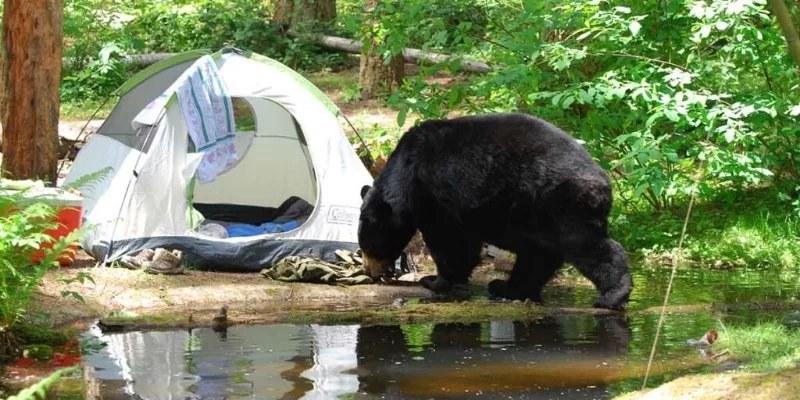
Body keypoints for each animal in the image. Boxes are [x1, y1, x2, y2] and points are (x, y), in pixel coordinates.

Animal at [357, 112, 633, 310]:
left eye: (367, 247)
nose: (370, 272)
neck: (405, 174)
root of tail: (604, 182)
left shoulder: (437, 195)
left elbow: (450, 242)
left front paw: (434, 280)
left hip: (561, 203)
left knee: (585, 246)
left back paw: (612, 296)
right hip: (534, 214)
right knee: (538, 255)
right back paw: (507, 287)